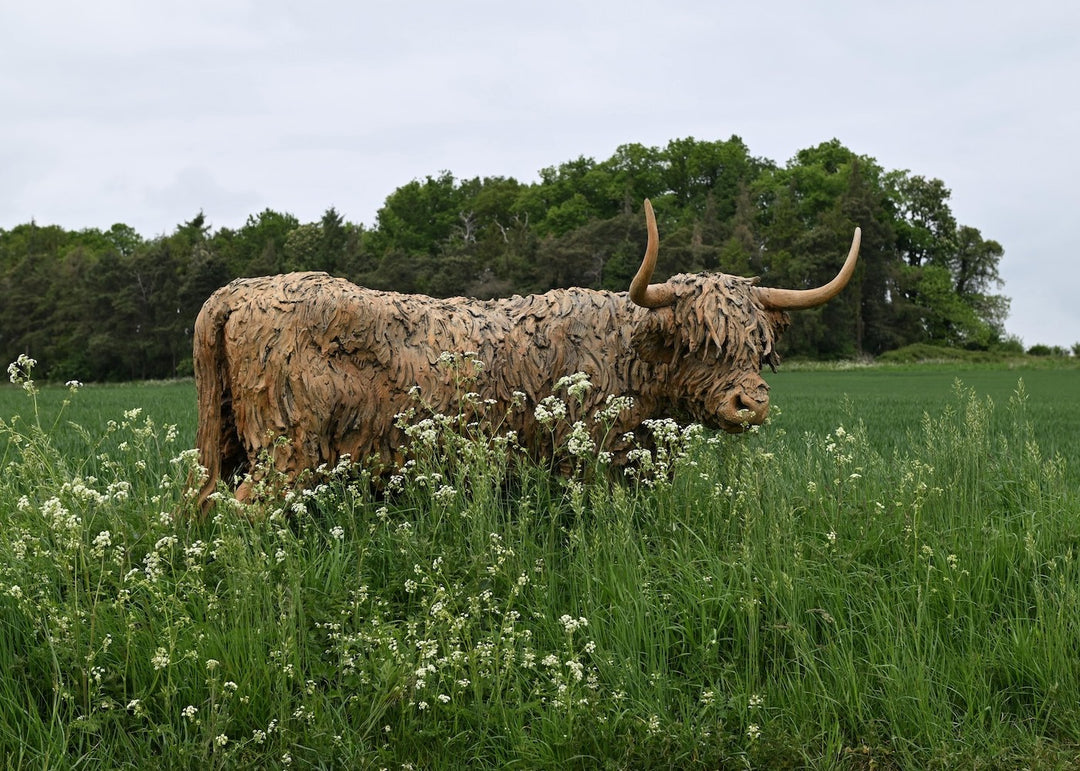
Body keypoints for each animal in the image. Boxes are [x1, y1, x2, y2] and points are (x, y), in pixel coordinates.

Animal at [192, 200, 860, 512]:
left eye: (759, 347)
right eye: (700, 344)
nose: (752, 403)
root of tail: (236, 293)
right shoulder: (587, 464)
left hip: (227, 445)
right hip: (287, 452)